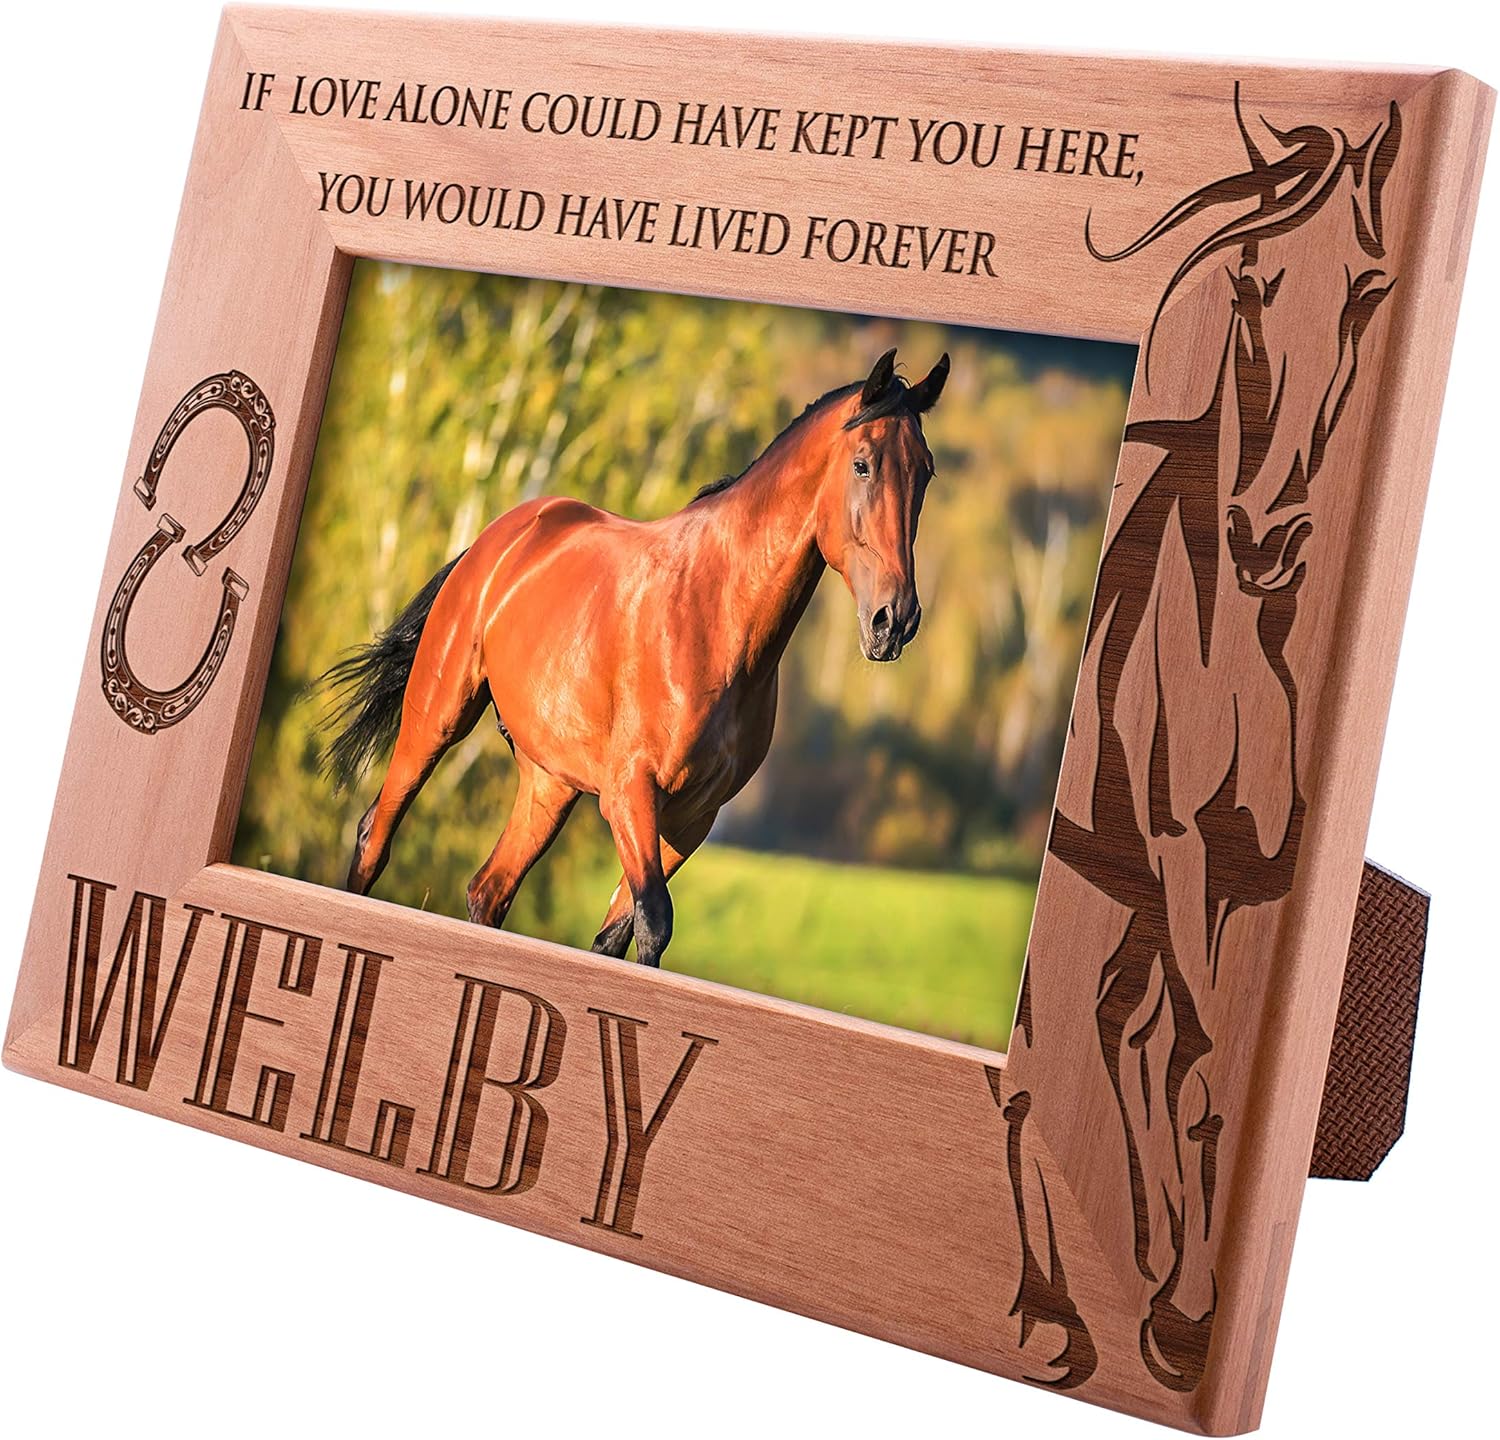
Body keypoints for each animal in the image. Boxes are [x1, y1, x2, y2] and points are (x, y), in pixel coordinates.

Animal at [319, 347, 950, 969]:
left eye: (925, 471)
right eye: (863, 464)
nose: (895, 620)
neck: (714, 619)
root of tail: (499, 538)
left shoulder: (692, 819)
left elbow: (617, 936)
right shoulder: (631, 796)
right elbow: (653, 922)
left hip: (550, 782)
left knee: (488, 889)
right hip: (436, 719)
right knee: (375, 836)